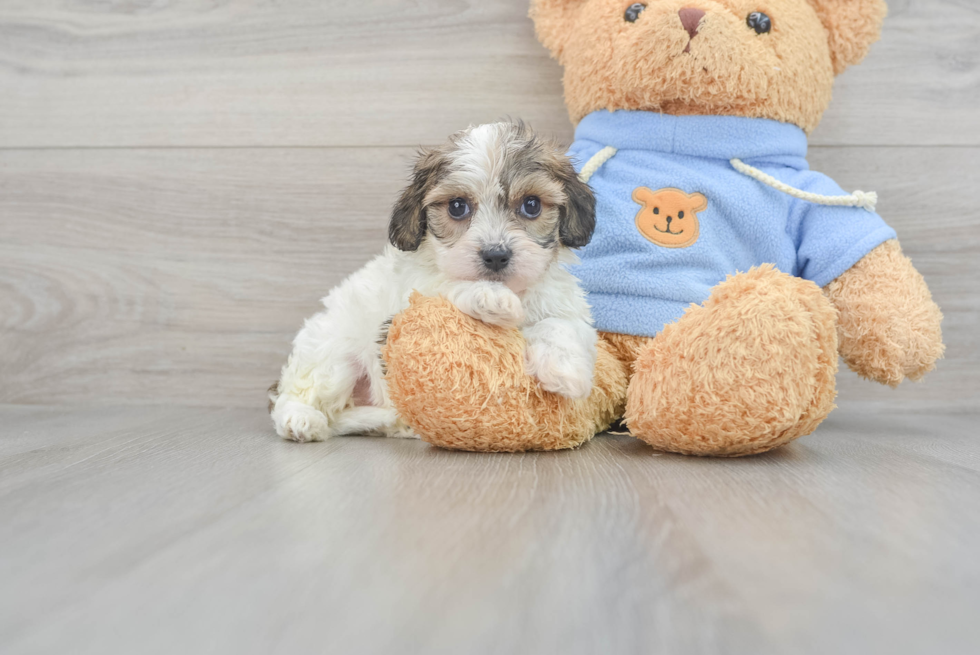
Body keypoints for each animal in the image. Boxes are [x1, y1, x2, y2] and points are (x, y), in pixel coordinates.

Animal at [272, 120, 600, 444]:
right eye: (457, 207)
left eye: (531, 205)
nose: (495, 255)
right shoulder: (410, 300)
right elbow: (446, 285)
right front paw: (490, 297)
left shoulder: (564, 303)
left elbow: (559, 324)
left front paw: (565, 370)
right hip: (332, 352)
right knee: (299, 396)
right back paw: (301, 419)